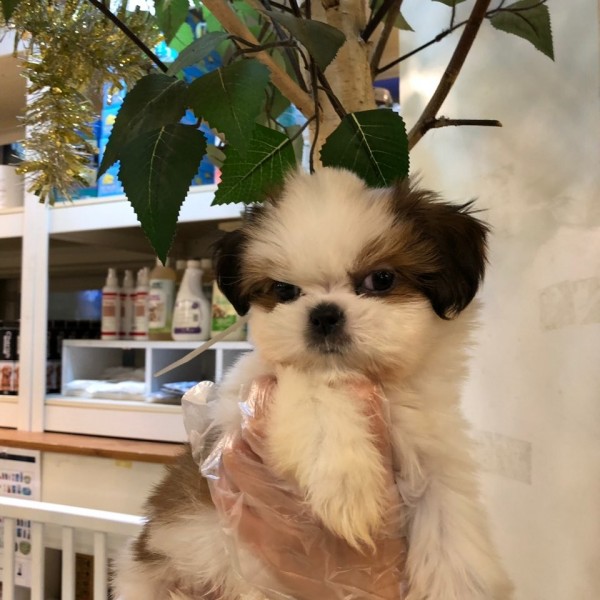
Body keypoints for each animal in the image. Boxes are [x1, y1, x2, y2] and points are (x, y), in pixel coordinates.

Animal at [114, 167, 513, 600]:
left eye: (382, 279)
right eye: (284, 290)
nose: (323, 314)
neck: (380, 384)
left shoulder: (432, 451)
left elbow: (449, 520)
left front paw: (459, 583)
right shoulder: (235, 412)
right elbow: (317, 384)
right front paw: (345, 479)